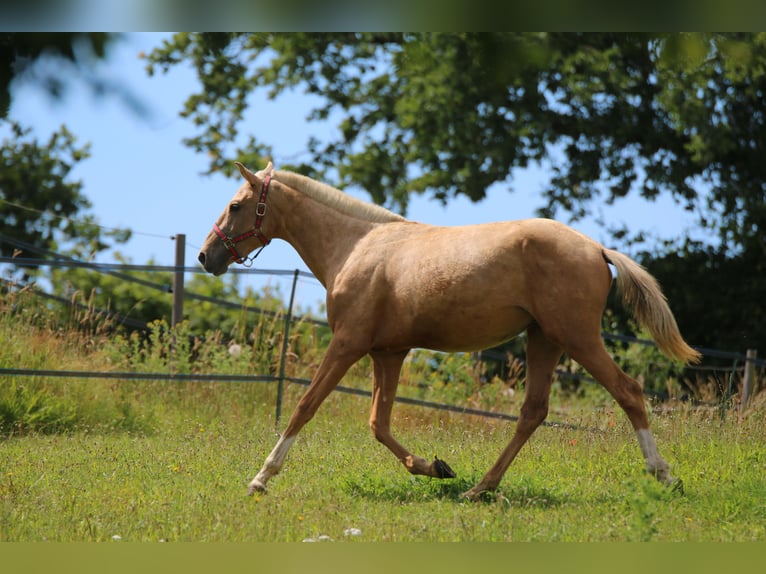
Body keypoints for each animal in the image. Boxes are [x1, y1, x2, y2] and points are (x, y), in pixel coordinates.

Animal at [198, 162, 704, 500]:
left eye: (236, 205)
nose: (206, 256)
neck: (357, 246)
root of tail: (598, 249)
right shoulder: (389, 352)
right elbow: (378, 423)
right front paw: (436, 467)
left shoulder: (347, 344)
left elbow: (305, 406)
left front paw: (261, 478)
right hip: (544, 340)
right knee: (533, 412)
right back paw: (478, 488)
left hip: (576, 338)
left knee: (628, 391)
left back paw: (665, 475)